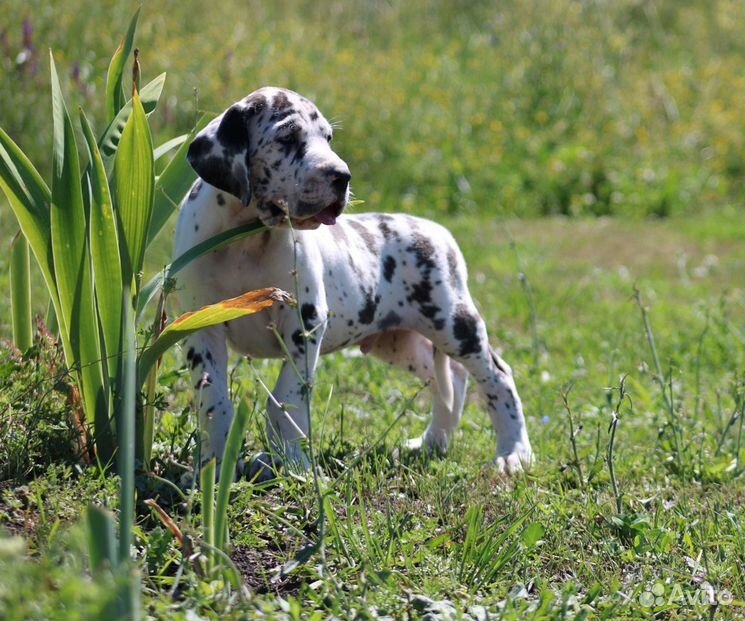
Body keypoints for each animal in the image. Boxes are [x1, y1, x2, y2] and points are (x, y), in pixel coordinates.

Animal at [174, 86, 532, 474]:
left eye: (328, 138)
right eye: (287, 138)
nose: (341, 176)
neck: (245, 240)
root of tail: (437, 231)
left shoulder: (305, 324)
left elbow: (287, 401)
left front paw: (295, 466)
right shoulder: (201, 328)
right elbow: (214, 403)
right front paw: (213, 467)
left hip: (455, 325)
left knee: (498, 376)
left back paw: (514, 453)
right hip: (400, 341)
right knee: (449, 379)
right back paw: (433, 441)